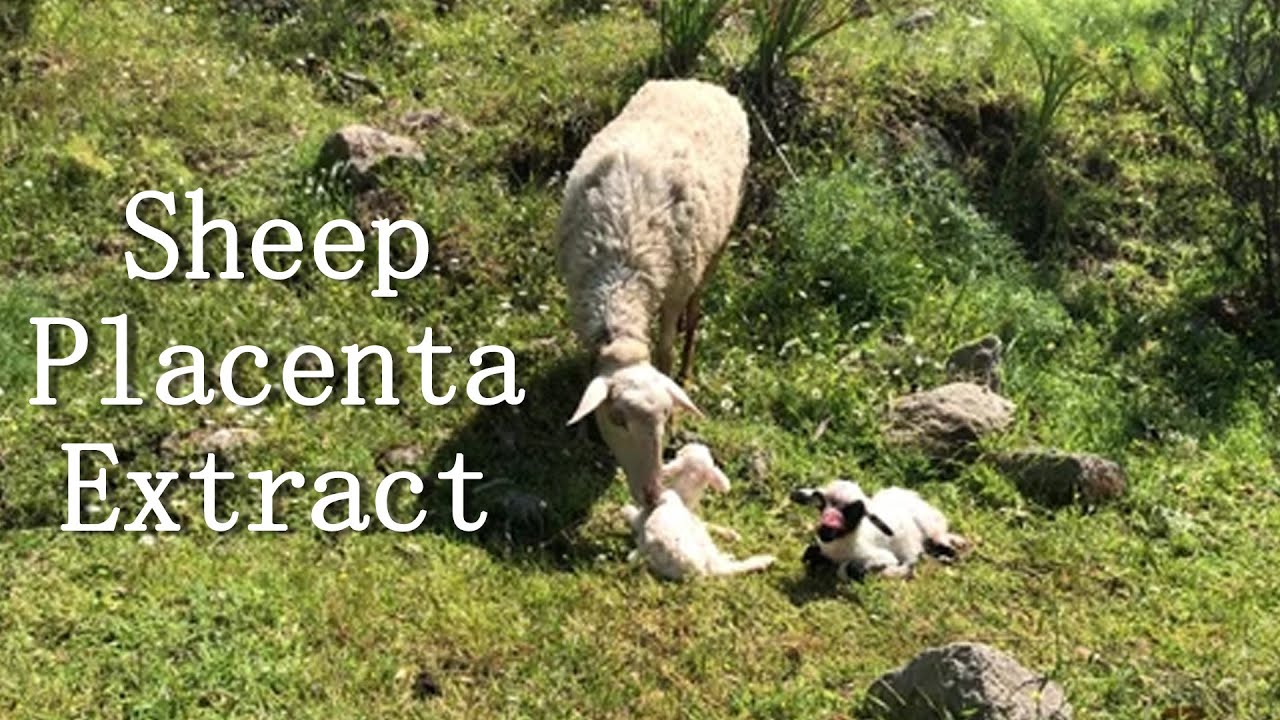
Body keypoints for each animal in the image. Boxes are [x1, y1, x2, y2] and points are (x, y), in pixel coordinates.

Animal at [558, 79, 750, 508]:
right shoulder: (578, 293)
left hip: (714, 247)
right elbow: (589, 364)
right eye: (617, 419)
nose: (652, 493)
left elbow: (664, 351)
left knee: (694, 315)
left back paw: (687, 363)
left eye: (663, 419)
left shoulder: (674, 288)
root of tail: (699, 83)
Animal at [621, 444, 775, 581]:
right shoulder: (694, 519)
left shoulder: (642, 517)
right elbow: (708, 523)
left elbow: (630, 512)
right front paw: (732, 534)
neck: (683, 494)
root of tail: (703, 570)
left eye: (680, 453)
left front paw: (626, 510)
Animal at [791, 480, 969, 581]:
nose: (826, 529)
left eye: (854, 511)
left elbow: (847, 569)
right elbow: (809, 554)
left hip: (930, 527)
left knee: (942, 543)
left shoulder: (883, 556)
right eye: (822, 506)